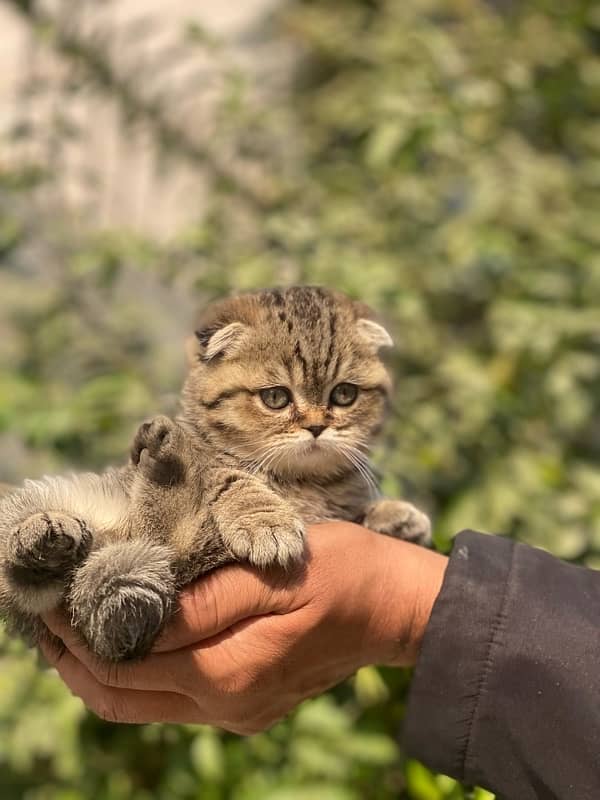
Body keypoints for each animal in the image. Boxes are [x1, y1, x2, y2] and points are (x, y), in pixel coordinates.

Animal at [0, 288, 428, 664]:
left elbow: (356, 509)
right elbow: (228, 477)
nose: (317, 427)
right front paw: (265, 520)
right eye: (276, 398)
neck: (303, 484)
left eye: (344, 395)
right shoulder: (219, 466)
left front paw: (396, 517)